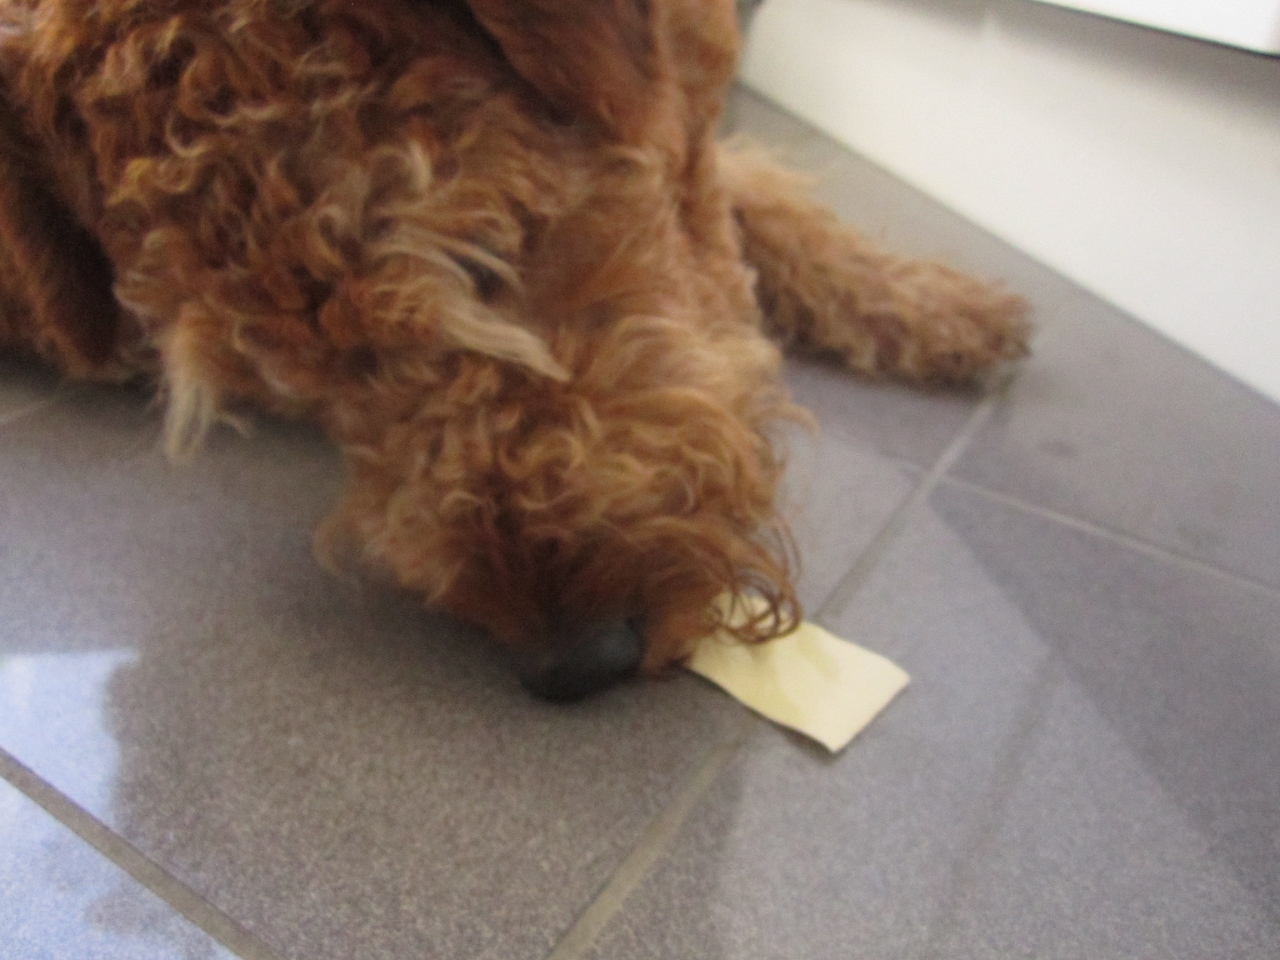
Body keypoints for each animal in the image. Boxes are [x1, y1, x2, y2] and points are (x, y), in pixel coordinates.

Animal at [0, 0, 1028, 700]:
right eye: (294, 384)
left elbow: (760, 196)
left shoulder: (687, 124)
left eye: (477, 254)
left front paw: (942, 305)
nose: (575, 662)